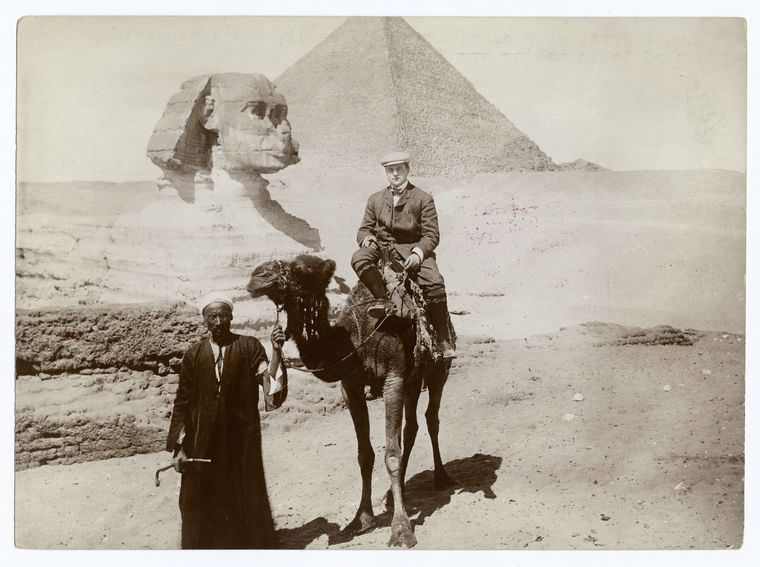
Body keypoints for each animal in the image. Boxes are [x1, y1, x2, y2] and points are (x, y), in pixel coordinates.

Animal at [248, 255, 458, 548]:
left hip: (439, 369)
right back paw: (396, 493)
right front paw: (361, 519)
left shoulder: (393, 378)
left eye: (303, 269)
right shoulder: (351, 386)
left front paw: (401, 530)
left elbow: (391, 454)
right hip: (413, 379)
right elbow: (365, 455)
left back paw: (441, 477)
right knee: (411, 426)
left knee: (431, 418)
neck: (354, 340)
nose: (257, 276)